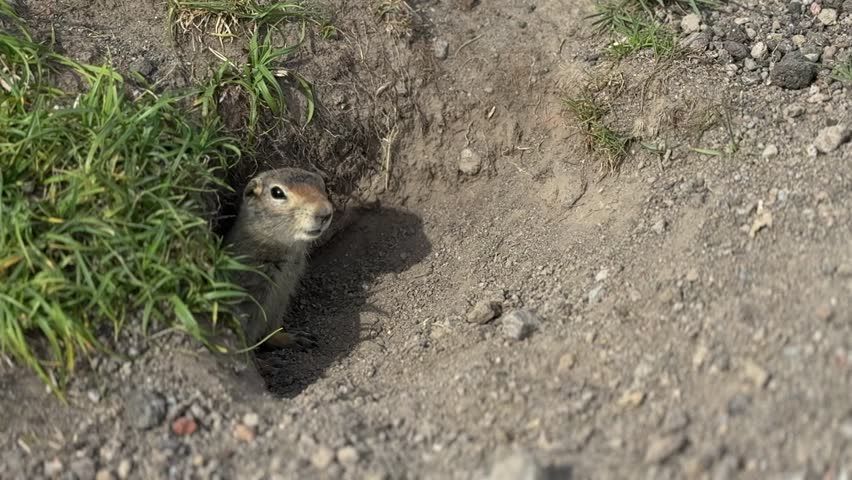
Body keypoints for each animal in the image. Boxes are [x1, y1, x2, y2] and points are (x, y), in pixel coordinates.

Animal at [224, 167, 334, 350]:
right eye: (277, 192)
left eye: (323, 185)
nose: (325, 212)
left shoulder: (281, 297)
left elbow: (271, 331)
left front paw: (293, 338)